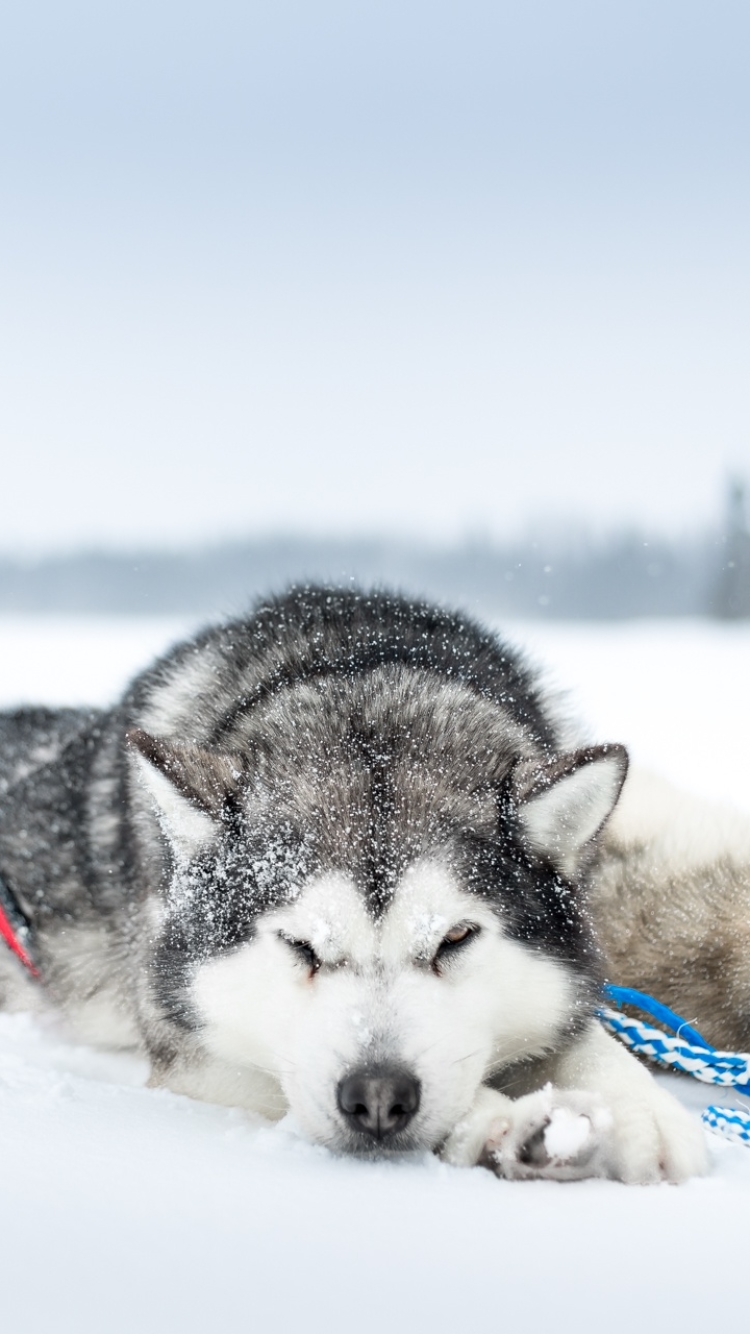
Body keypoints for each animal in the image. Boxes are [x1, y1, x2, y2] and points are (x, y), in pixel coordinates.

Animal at [0, 584, 704, 1179]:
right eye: (300, 947)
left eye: (455, 939)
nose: (379, 1097)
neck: (366, 672)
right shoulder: (196, 1056)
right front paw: (498, 1120)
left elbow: (585, 1036)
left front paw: (642, 1110)